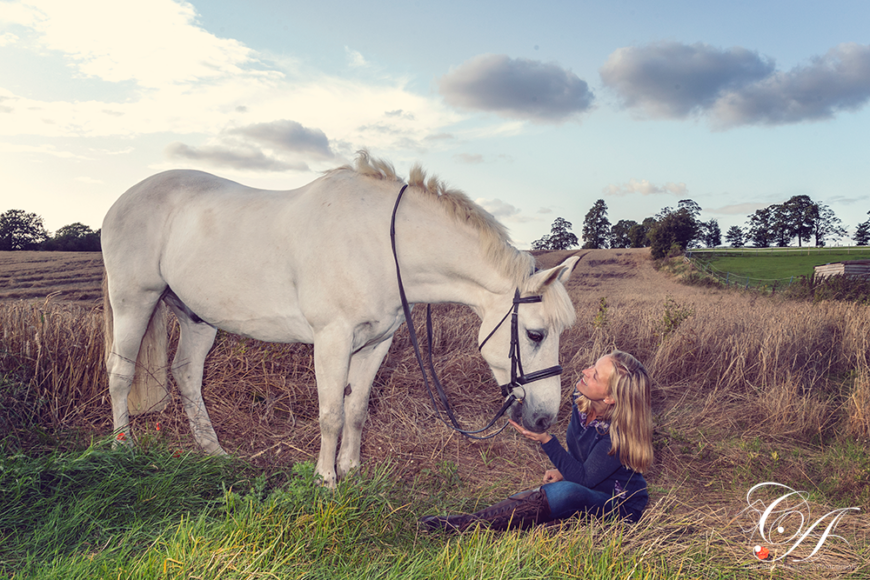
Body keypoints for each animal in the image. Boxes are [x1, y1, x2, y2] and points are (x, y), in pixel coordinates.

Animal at [102, 151, 580, 484]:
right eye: (535, 334)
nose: (544, 420)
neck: (383, 243)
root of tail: (120, 200)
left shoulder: (376, 343)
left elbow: (357, 409)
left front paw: (351, 469)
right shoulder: (333, 339)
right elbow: (330, 413)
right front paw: (325, 478)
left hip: (197, 317)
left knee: (186, 373)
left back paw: (212, 450)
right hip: (134, 300)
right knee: (120, 373)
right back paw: (123, 446)